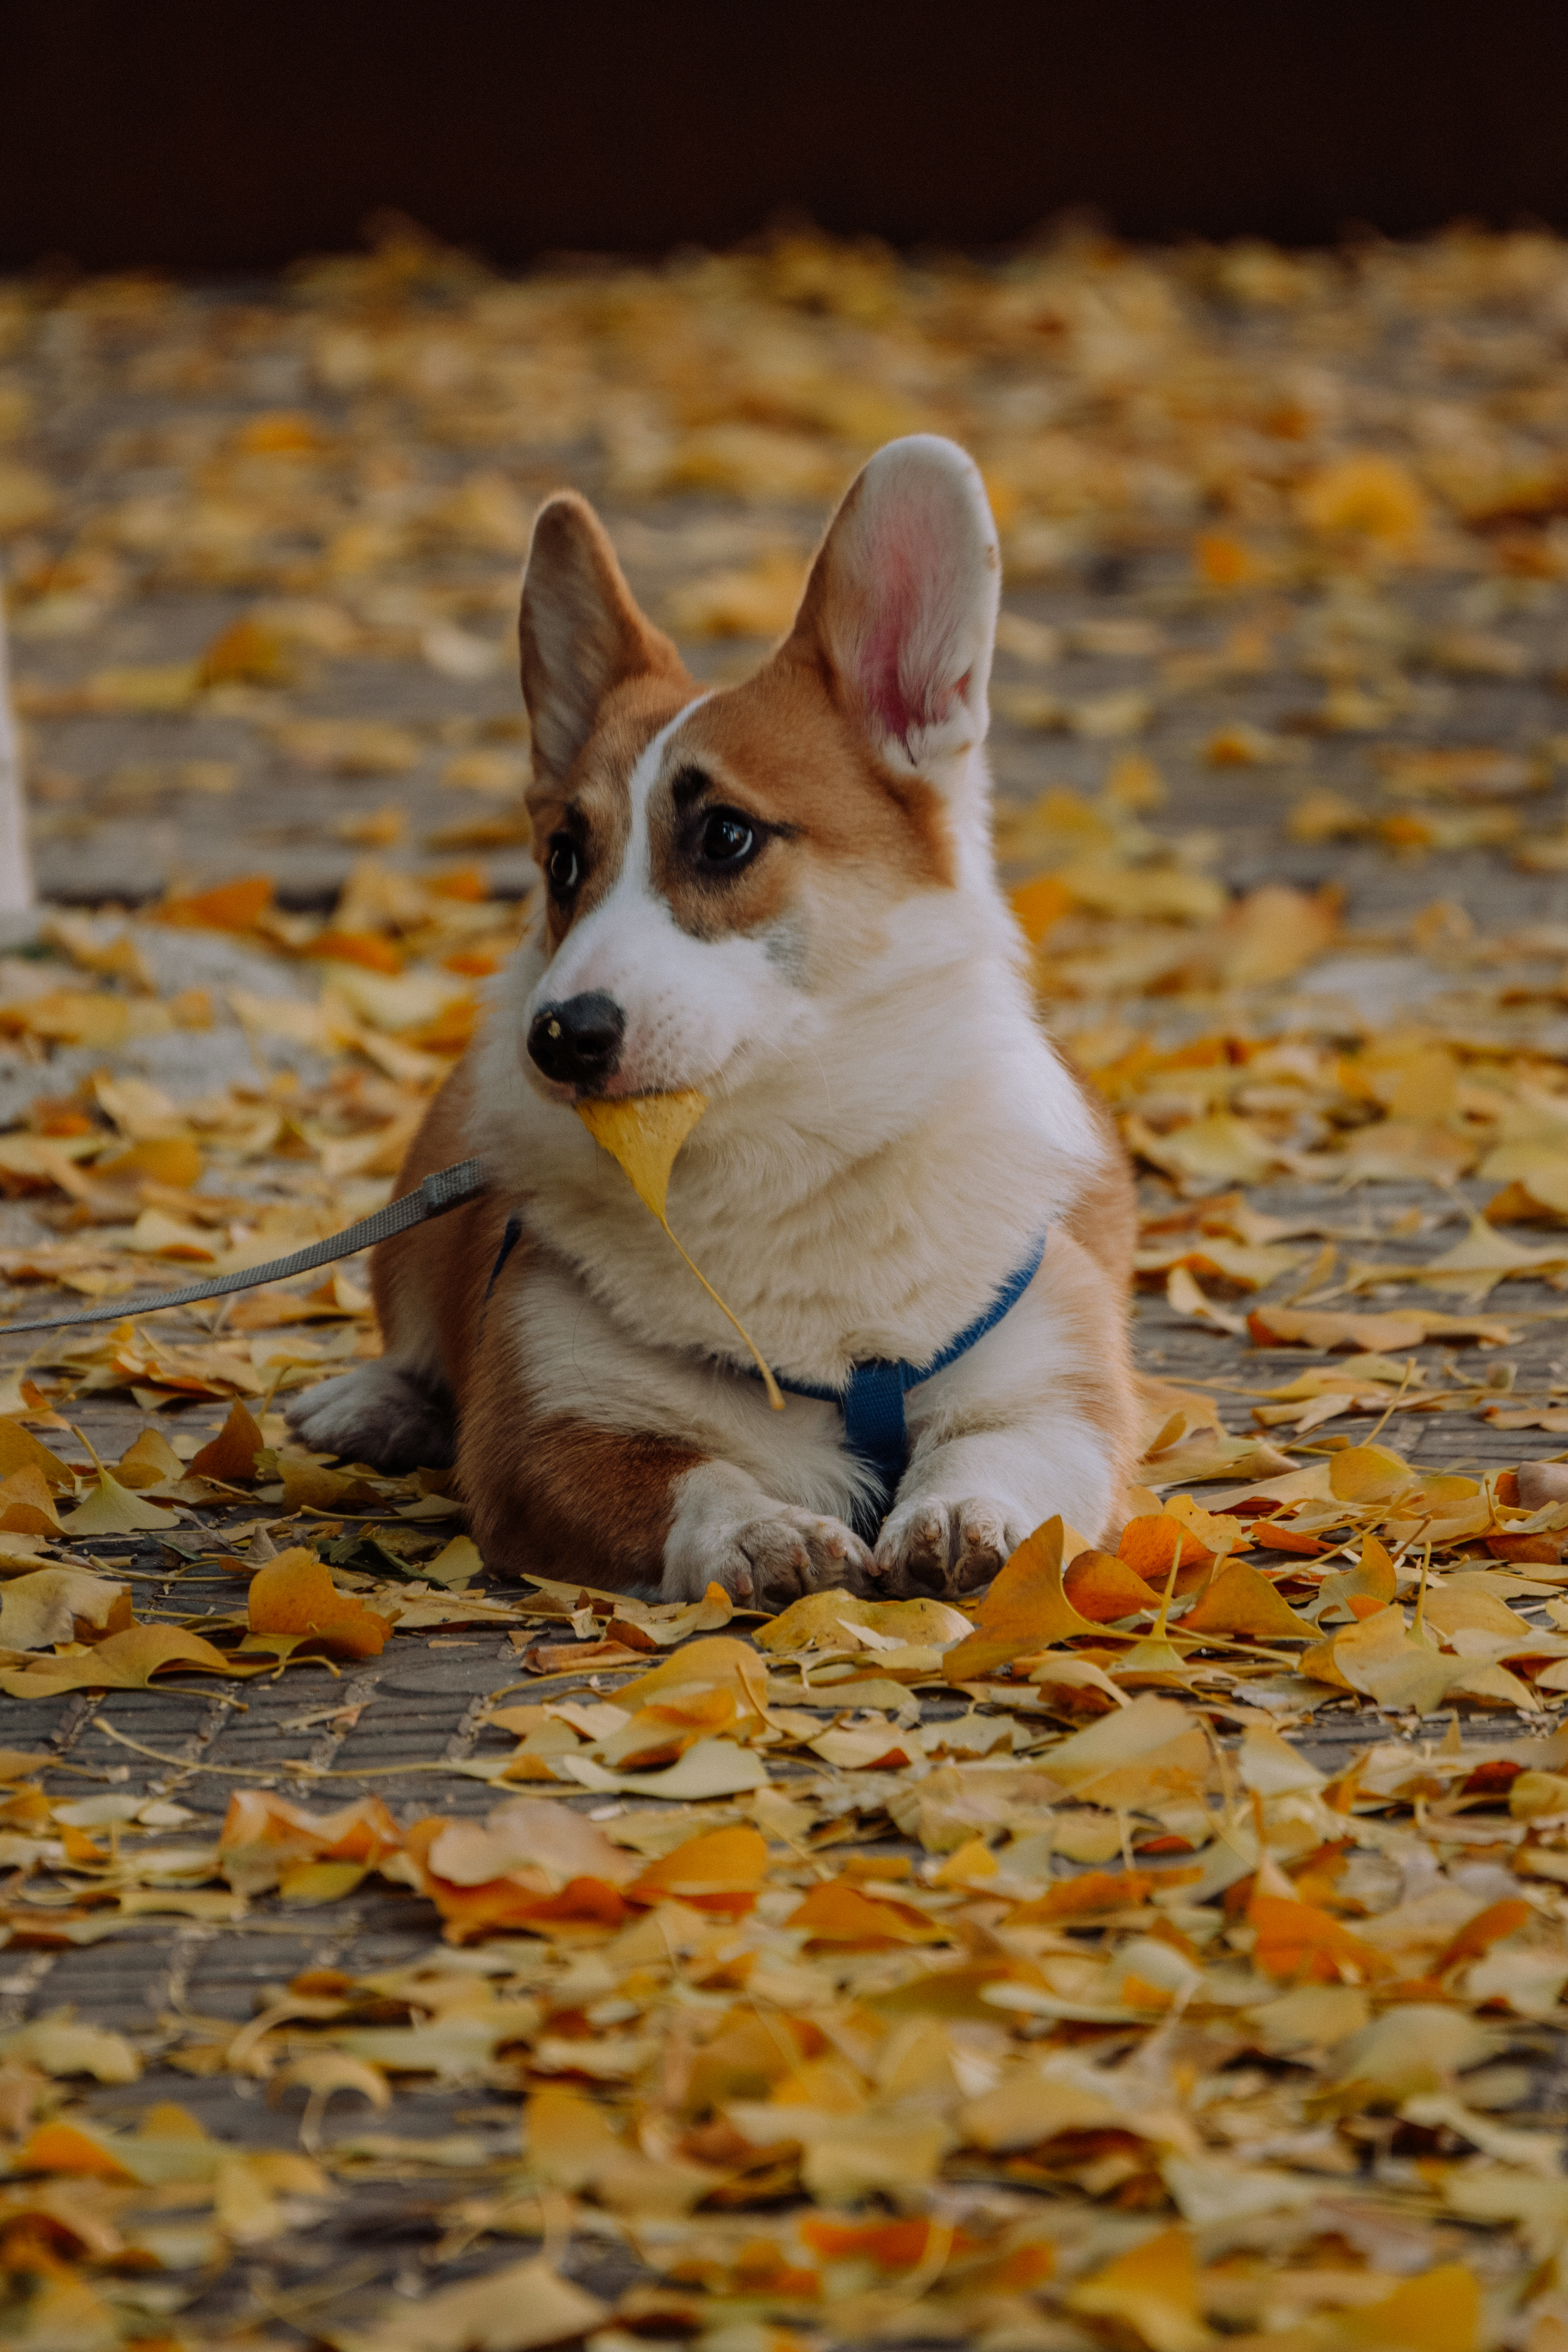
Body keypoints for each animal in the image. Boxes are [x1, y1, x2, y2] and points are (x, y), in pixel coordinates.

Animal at [287, 440, 1133, 1609]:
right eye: (563, 861)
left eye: (726, 835)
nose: (559, 1038)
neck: (777, 1159)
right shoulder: (548, 1426)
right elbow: (696, 1477)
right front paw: (763, 1533)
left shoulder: (1057, 1386)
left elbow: (1006, 1450)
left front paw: (966, 1511)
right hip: (422, 1203)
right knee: (410, 1329)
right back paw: (373, 1403)